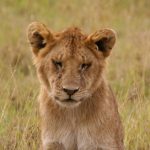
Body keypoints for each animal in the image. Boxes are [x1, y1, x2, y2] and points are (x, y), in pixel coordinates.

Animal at [27, 21, 124, 149]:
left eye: (84, 65)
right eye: (58, 63)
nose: (70, 90)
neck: (72, 115)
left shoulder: (102, 144)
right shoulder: (52, 143)